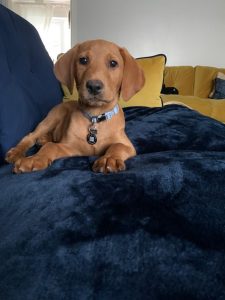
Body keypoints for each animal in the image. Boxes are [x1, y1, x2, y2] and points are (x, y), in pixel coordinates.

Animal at [6, 39, 146, 173]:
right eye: (83, 60)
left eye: (113, 63)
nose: (94, 86)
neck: (95, 117)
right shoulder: (69, 146)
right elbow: (51, 146)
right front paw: (35, 159)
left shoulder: (127, 145)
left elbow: (118, 146)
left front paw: (109, 159)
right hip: (51, 118)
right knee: (31, 136)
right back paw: (17, 152)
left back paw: (44, 139)